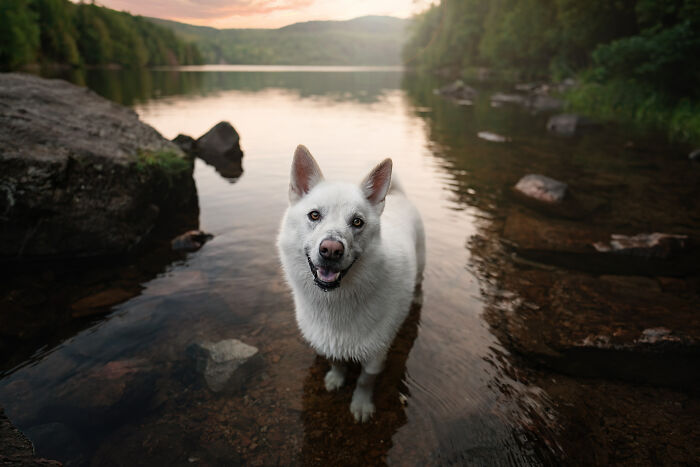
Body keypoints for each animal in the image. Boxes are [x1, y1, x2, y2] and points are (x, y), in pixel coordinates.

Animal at [276, 144, 424, 422]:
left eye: (357, 222)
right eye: (314, 215)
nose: (331, 250)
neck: (333, 302)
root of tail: (396, 194)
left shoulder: (376, 355)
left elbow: (365, 380)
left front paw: (361, 405)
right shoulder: (328, 344)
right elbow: (337, 362)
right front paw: (336, 379)